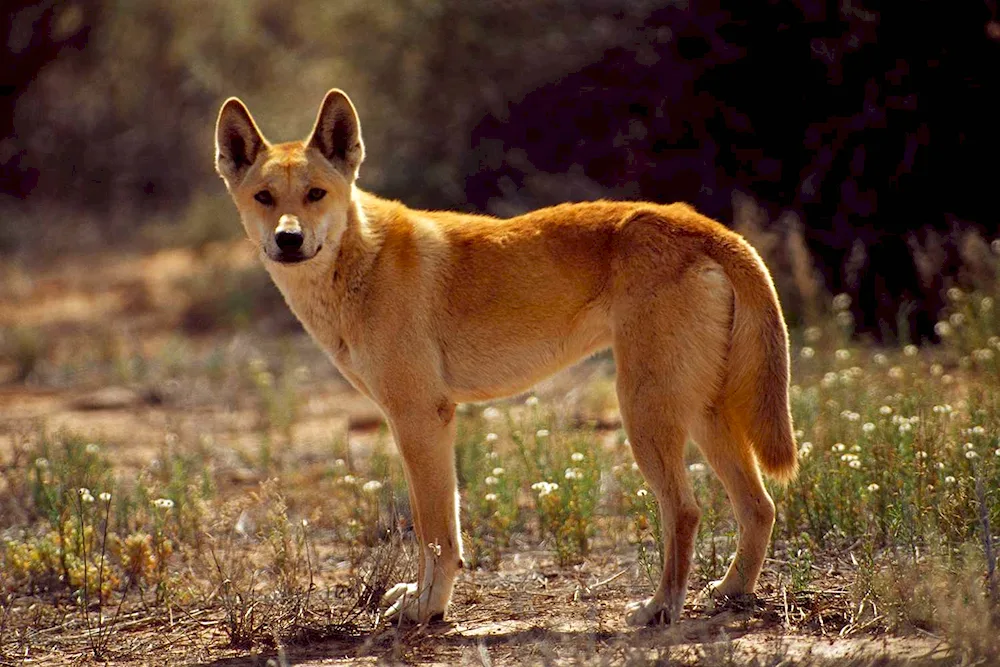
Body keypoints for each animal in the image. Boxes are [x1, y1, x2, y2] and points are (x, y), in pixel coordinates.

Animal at [217, 88, 796, 628]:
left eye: (315, 194)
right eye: (264, 197)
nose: (288, 239)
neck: (361, 260)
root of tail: (705, 226)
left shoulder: (419, 417)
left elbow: (435, 534)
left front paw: (427, 607)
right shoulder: (419, 422)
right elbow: (437, 527)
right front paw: (421, 598)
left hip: (645, 411)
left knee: (686, 511)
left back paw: (659, 608)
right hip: (702, 412)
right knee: (759, 507)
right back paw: (732, 591)